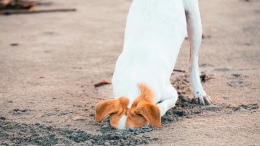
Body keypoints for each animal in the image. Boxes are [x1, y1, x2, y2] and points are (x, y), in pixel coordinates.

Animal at [95, 0, 211, 129]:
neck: (135, 76)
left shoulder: (171, 93)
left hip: (195, 24)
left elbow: (160, 108)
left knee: (193, 62)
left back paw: (199, 93)